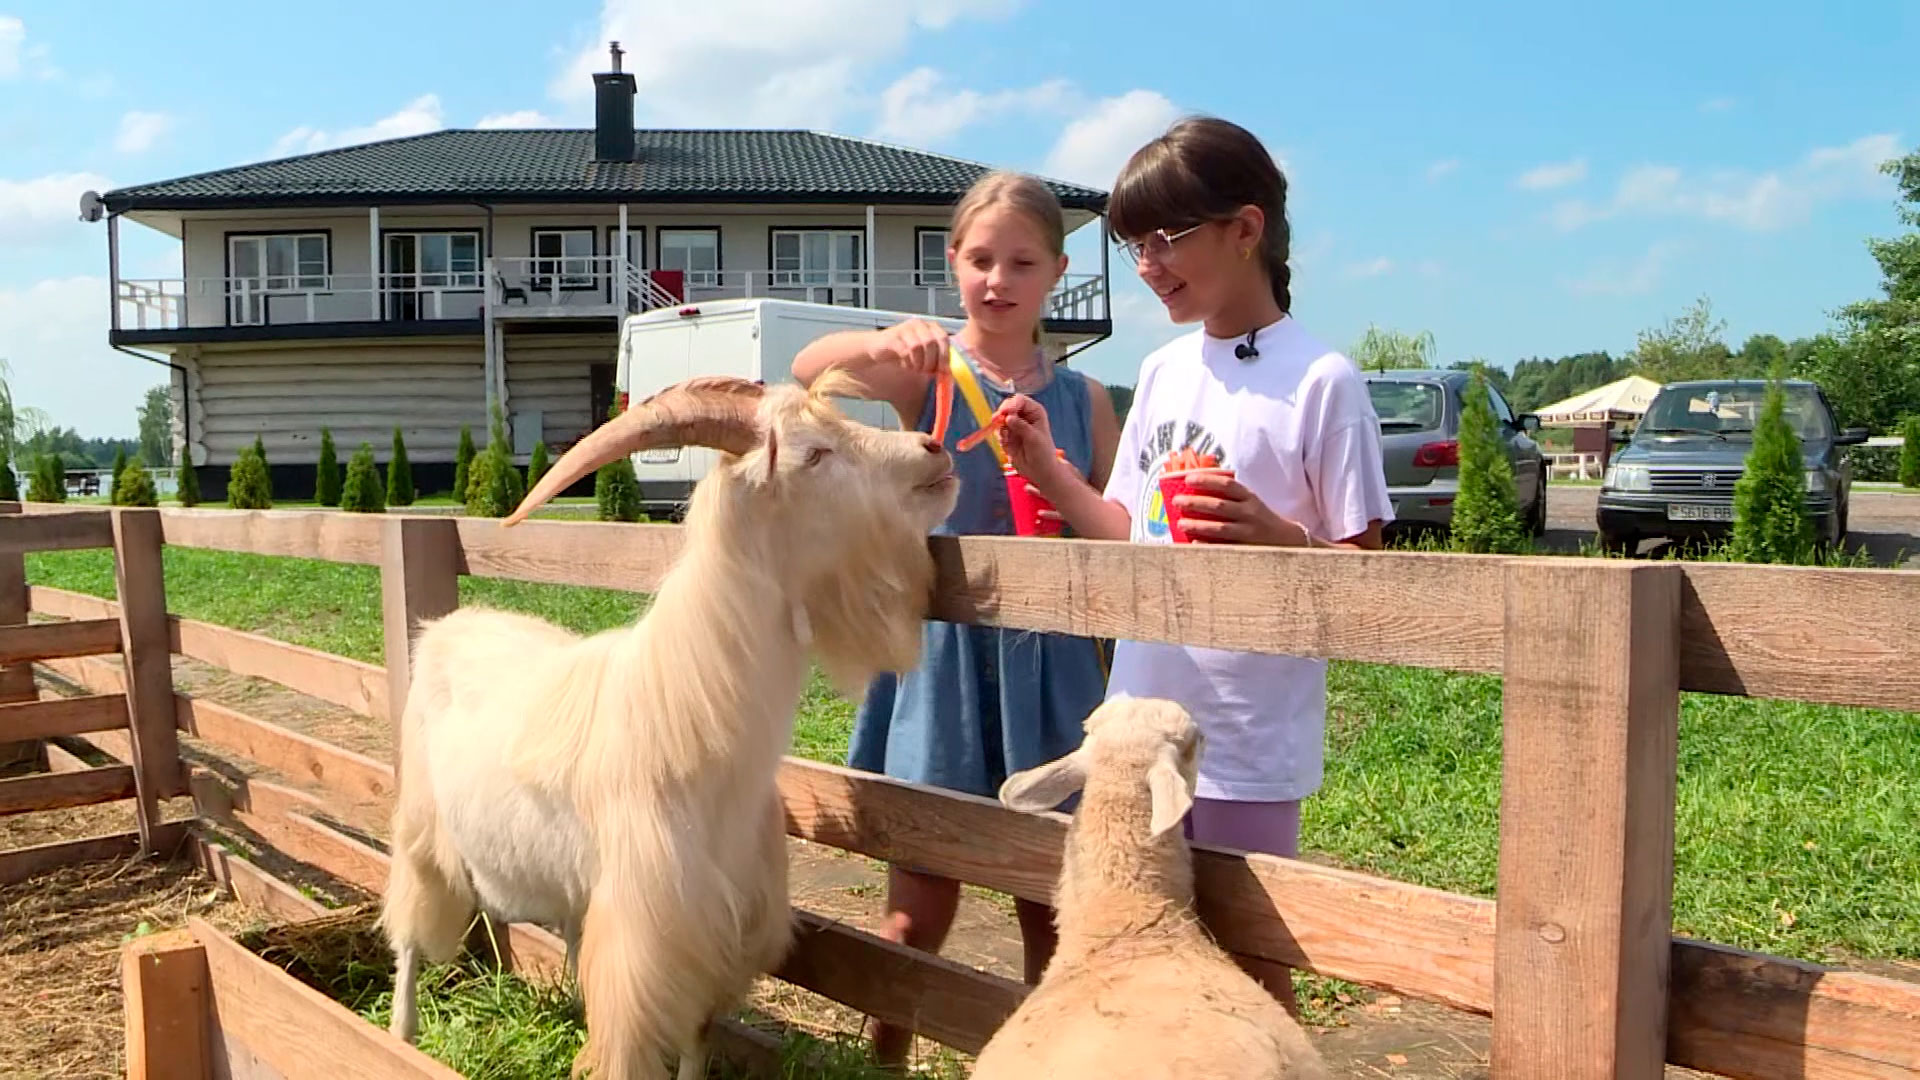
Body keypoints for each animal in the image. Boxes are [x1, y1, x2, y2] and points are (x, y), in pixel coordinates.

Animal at [380, 372, 960, 1076]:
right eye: (813, 454)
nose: (933, 448)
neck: (686, 719)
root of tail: (446, 626)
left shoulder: (711, 939)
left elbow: (695, 1039)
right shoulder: (644, 944)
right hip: (420, 826)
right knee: (409, 934)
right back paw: (401, 1036)